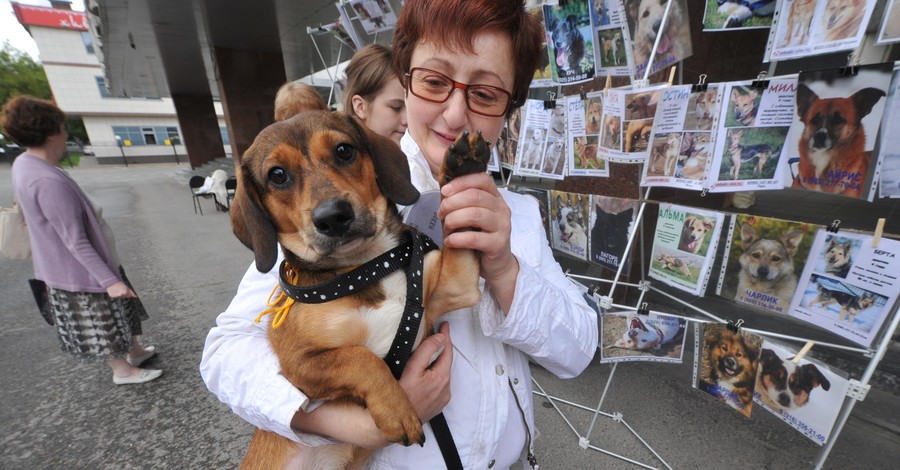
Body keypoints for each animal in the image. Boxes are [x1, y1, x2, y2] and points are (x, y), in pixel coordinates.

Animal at [230, 112, 486, 468]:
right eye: (277, 175)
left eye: (344, 150)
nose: (333, 216)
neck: (366, 268)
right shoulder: (299, 364)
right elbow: (360, 359)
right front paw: (397, 410)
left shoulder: (458, 282)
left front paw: (464, 168)